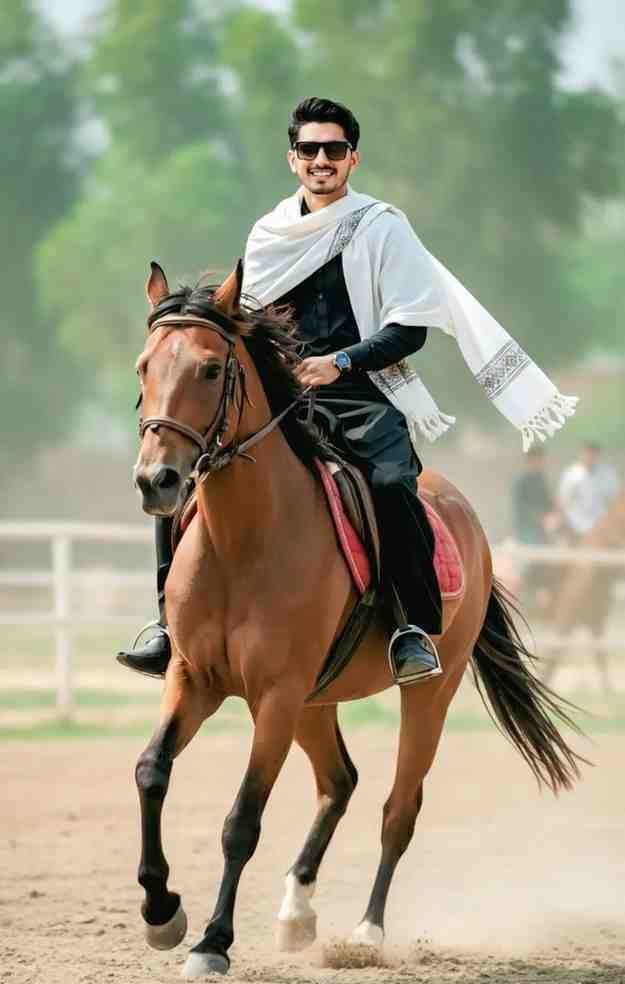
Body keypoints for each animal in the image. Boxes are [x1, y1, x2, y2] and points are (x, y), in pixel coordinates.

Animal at [131, 260, 583, 979]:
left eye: (210, 368)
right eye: (144, 365)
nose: (158, 480)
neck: (243, 541)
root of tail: (466, 515)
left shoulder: (276, 696)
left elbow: (242, 820)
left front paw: (212, 941)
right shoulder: (194, 678)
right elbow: (152, 772)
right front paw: (161, 912)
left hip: (425, 694)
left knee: (398, 806)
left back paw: (367, 931)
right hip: (316, 703)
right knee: (339, 781)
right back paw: (296, 912)